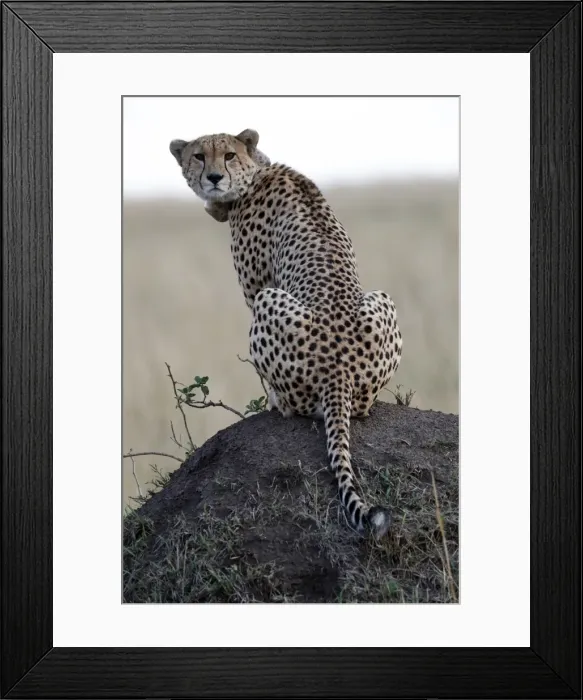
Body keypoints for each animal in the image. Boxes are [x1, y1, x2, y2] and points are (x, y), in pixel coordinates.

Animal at [169, 128, 403, 539]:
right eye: (199, 156)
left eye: (228, 155)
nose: (213, 177)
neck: (255, 172)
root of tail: (338, 371)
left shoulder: (255, 287)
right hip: (382, 299)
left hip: (268, 300)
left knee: (295, 405)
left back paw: (277, 403)